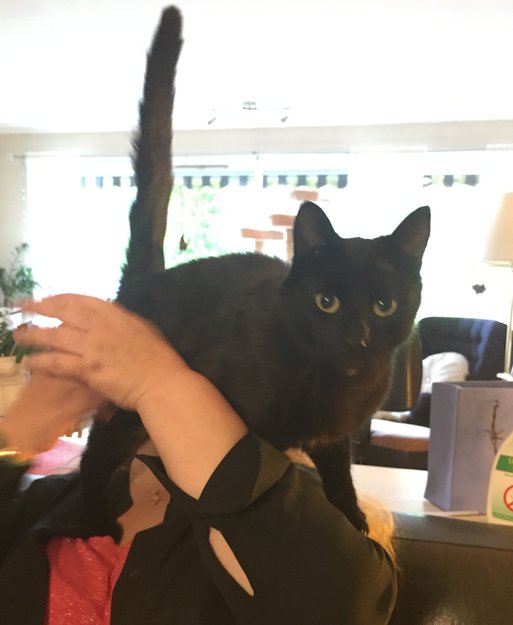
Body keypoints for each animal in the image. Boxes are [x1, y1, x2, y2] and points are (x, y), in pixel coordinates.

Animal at [79, 6, 430, 538]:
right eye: (326, 302)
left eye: (384, 305)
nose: (358, 336)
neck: (338, 381)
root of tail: (149, 278)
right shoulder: (253, 431)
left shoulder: (335, 440)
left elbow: (340, 477)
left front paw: (352, 519)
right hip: (126, 411)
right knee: (96, 455)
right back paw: (96, 521)